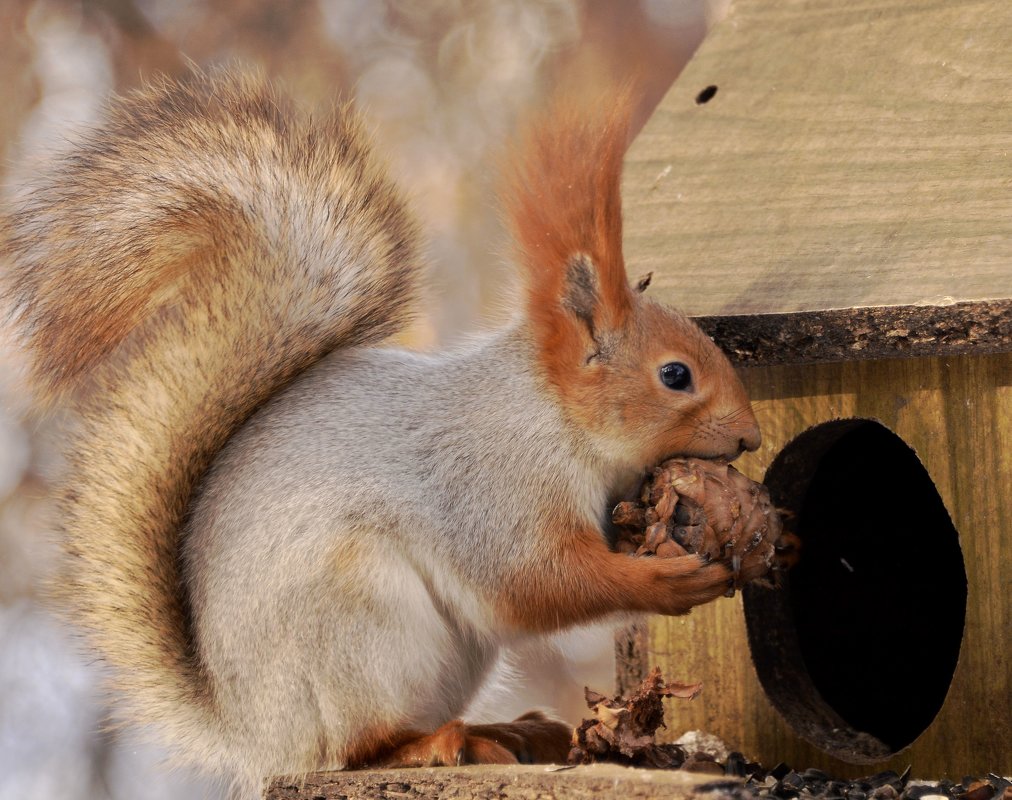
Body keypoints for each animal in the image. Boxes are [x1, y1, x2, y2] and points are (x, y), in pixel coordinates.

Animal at [0, 71, 761, 796]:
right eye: (675, 375)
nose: (752, 437)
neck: (554, 418)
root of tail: (251, 733)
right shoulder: (491, 485)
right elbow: (534, 580)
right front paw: (664, 581)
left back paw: (506, 733)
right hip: (358, 621)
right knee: (360, 748)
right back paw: (437, 745)